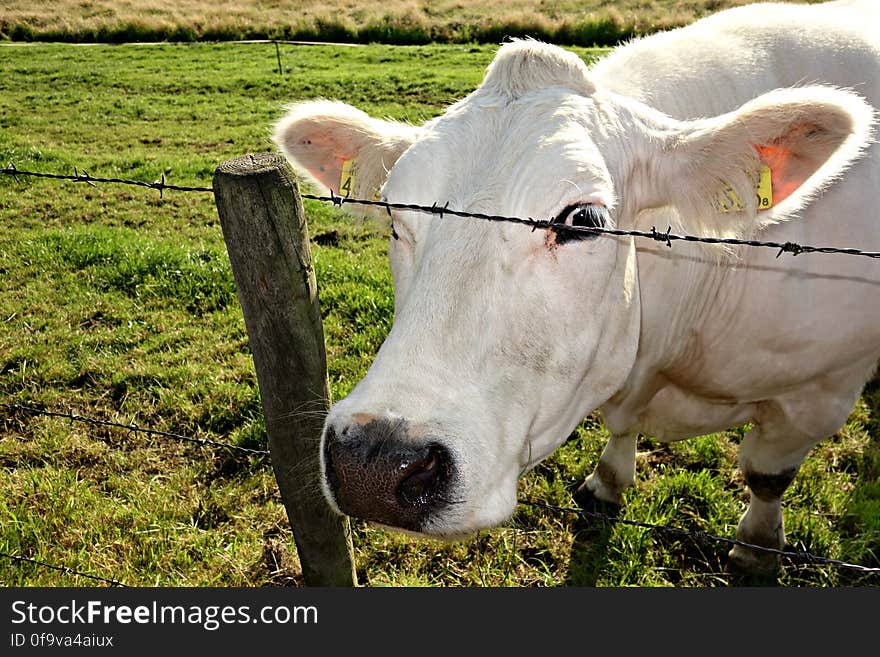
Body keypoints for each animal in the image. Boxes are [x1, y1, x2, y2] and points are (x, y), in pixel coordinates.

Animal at [272, 1, 876, 576]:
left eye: (583, 220)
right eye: (397, 217)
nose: (373, 462)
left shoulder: (821, 390)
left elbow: (767, 475)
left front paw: (756, 547)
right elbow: (622, 432)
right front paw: (606, 483)